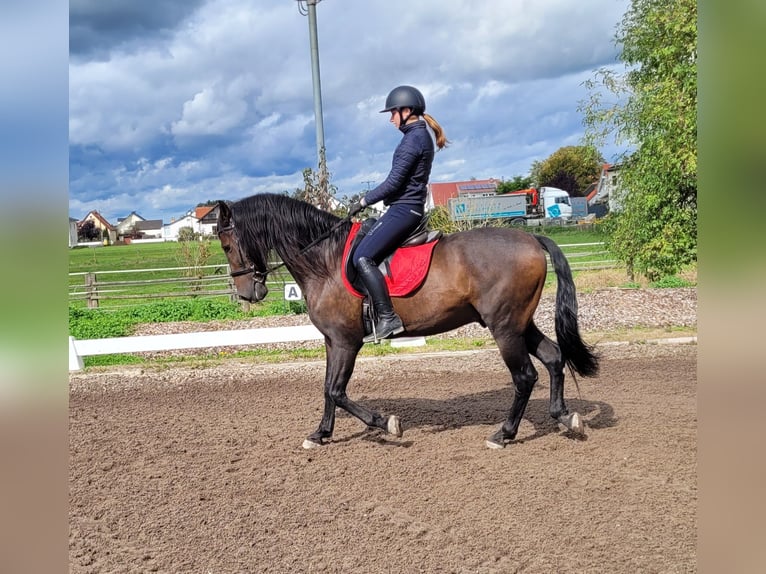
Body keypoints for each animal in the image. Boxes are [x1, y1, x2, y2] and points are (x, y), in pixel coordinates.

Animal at [216, 194, 600, 450]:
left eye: (226, 244)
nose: (248, 293)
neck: (324, 261)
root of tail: (531, 237)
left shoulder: (345, 341)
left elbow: (336, 390)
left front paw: (386, 423)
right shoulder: (331, 340)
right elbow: (326, 388)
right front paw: (320, 434)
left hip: (504, 327)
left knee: (525, 376)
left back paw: (503, 433)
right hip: (519, 322)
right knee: (553, 358)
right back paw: (564, 417)